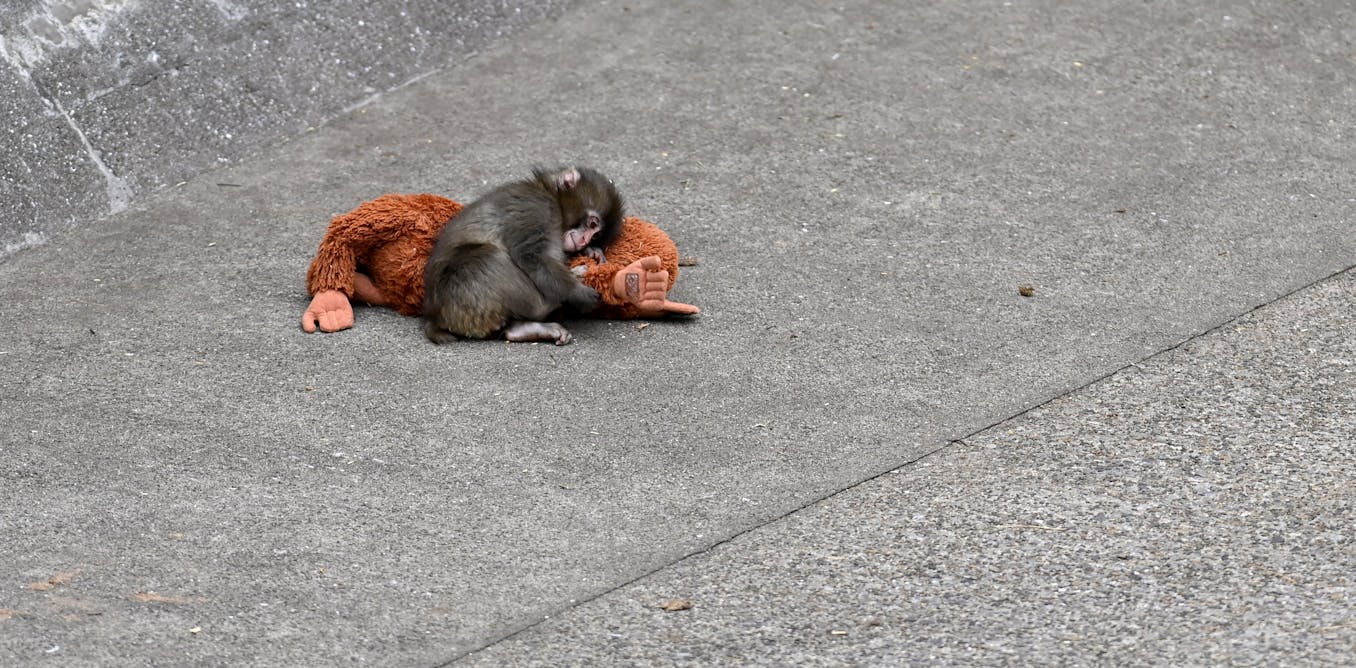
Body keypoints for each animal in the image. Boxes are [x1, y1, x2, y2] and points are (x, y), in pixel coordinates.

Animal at [422, 166, 624, 345]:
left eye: (596, 235)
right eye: (592, 224)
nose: (584, 241)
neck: (549, 194)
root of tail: (435, 317)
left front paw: (592, 252)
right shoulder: (536, 207)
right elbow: (531, 256)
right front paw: (577, 292)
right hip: (461, 296)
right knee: (488, 257)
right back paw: (550, 302)